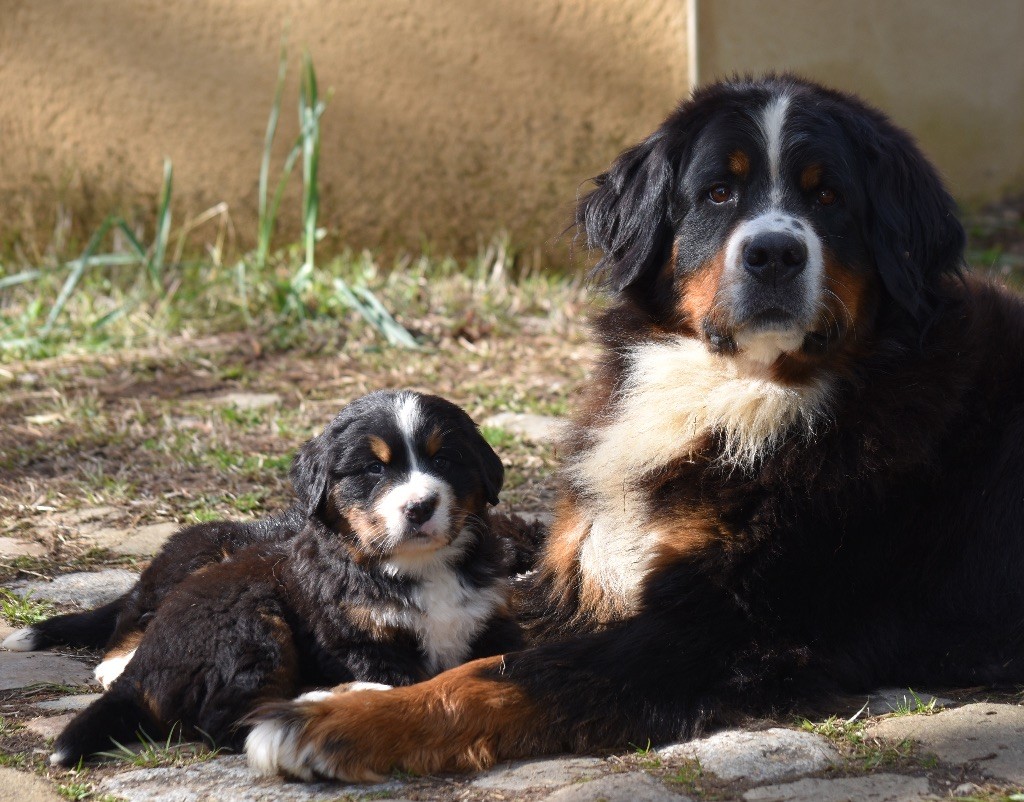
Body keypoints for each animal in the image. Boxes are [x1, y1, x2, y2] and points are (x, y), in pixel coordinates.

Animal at [2, 391, 544, 770]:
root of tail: (145, 671)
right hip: (247, 617)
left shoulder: (490, 619)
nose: (420, 506)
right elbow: (410, 684)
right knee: (223, 717)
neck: (418, 567)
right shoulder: (359, 640)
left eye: (443, 460)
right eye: (373, 468)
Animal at [243, 76, 1024, 782]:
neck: (739, 392)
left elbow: (508, 674)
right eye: (718, 193)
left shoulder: (720, 631)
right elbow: (489, 620)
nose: (774, 253)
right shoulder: (580, 579)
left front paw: (334, 719)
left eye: (828, 196)